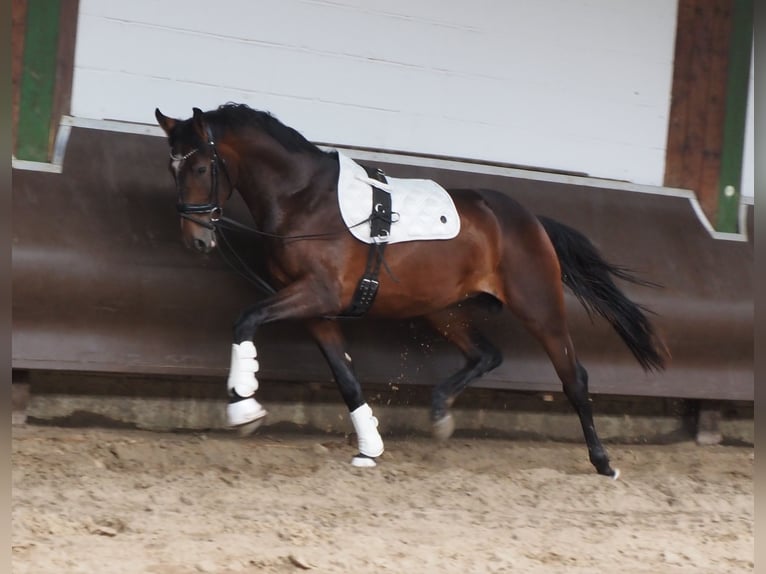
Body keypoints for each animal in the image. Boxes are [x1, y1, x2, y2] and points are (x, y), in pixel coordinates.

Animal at [158, 102, 672, 476]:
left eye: (200, 168)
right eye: (172, 168)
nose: (197, 239)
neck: (305, 198)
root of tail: (532, 221)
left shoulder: (318, 295)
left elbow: (245, 319)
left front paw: (243, 404)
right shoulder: (317, 311)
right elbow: (345, 377)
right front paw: (370, 447)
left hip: (539, 307)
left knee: (574, 377)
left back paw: (602, 462)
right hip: (441, 309)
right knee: (486, 355)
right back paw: (441, 411)